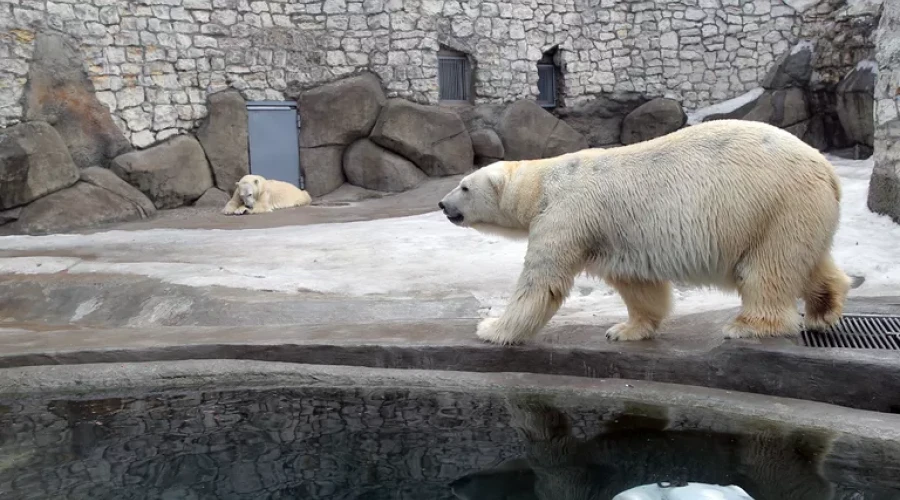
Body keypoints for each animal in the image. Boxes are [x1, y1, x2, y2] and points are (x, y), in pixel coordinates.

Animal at [442, 118, 852, 344]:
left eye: (464, 186)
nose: (444, 205)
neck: (544, 183)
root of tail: (828, 171)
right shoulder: (614, 235)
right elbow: (637, 284)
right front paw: (624, 329)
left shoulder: (567, 215)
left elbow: (541, 284)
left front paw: (491, 328)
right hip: (798, 212)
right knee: (809, 261)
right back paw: (823, 310)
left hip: (774, 206)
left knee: (767, 270)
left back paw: (747, 325)